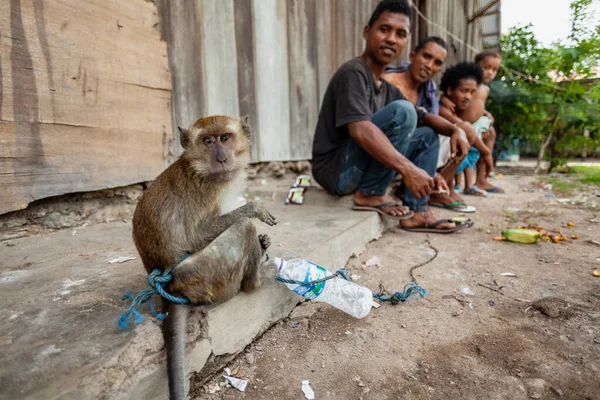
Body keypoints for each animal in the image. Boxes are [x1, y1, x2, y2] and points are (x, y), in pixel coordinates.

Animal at [131, 115, 276, 400]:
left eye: (225, 138)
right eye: (208, 141)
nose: (221, 157)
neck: (203, 170)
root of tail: (169, 283)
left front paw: (263, 240)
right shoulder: (205, 191)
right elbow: (195, 236)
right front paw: (254, 208)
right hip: (203, 274)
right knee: (243, 228)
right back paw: (257, 277)